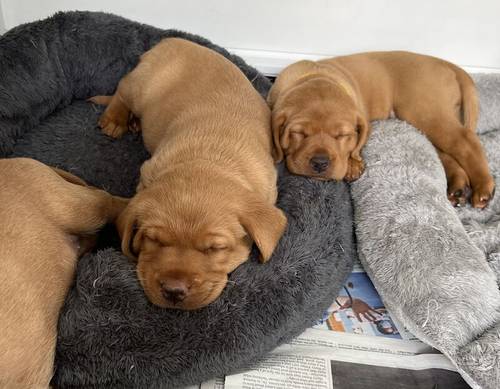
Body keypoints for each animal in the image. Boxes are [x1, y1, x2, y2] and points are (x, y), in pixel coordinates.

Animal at [90, 36, 286, 310]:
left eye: (215, 248)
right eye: (153, 239)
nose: (174, 290)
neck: (209, 160)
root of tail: (170, 40)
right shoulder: (148, 171)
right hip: (139, 87)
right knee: (121, 90)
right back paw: (115, 119)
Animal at [268, 52, 494, 209]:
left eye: (342, 135)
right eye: (299, 134)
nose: (320, 163)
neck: (315, 74)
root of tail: (447, 64)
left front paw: (353, 164)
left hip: (425, 111)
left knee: (466, 142)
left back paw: (484, 187)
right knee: (446, 152)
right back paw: (458, 187)